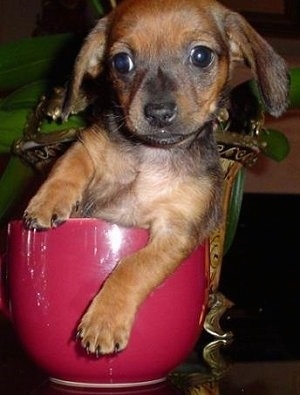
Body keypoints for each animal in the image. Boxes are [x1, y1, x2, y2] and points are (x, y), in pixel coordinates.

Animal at [24, 0, 290, 358]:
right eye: (121, 62)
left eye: (201, 56)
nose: (159, 112)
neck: (154, 156)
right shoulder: (90, 144)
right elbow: (69, 165)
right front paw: (47, 201)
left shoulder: (176, 233)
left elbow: (133, 266)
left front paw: (104, 319)